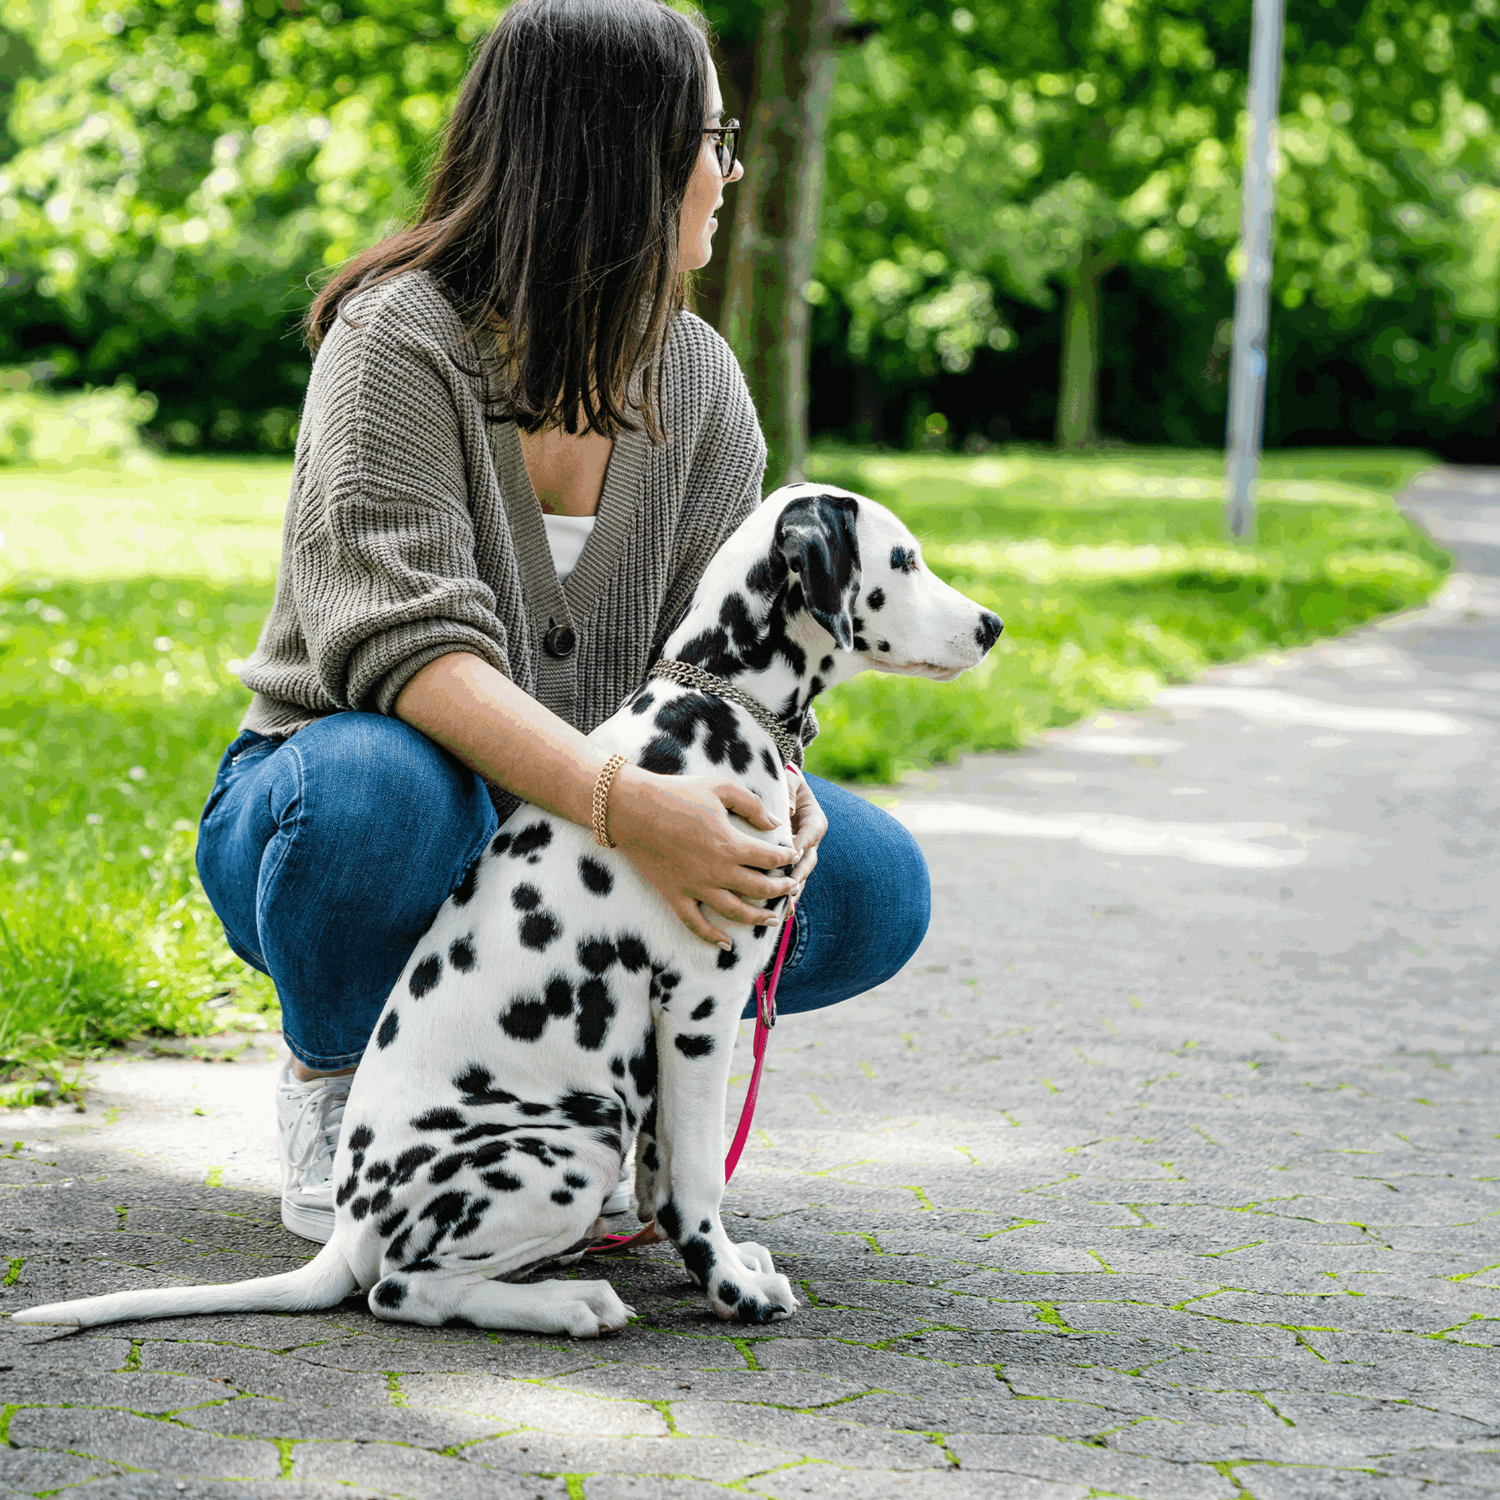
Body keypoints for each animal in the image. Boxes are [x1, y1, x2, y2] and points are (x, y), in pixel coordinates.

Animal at [17, 486, 1002, 1344]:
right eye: (904, 559)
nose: (993, 626)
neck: (711, 712)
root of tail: (350, 1226)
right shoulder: (700, 1008)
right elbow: (696, 1182)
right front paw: (728, 1286)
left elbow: (664, 1177)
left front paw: (722, 1264)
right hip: (570, 1143)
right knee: (401, 1291)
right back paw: (569, 1304)